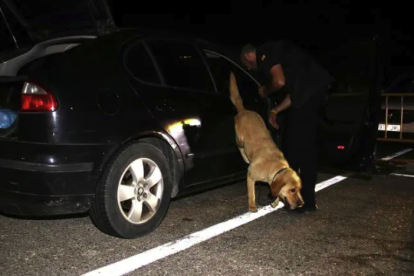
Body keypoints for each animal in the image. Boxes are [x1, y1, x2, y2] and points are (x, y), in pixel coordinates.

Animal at [228, 72, 302, 212]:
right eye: (292, 190)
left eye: (300, 189)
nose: (301, 203)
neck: (275, 167)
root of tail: (244, 110)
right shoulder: (250, 177)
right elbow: (251, 193)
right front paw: (252, 206)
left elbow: (277, 194)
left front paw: (275, 202)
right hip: (239, 138)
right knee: (239, 145)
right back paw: (244, 155)